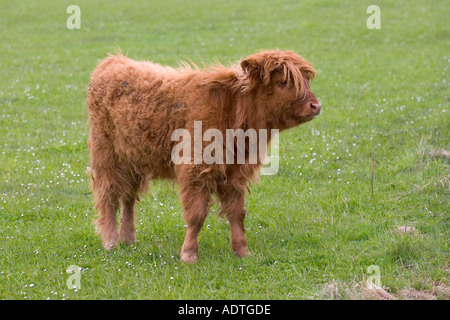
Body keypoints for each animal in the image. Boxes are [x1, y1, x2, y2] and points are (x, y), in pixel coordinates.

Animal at [87, 50, 320, 262]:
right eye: (283, 82)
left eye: (305, 81)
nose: (316, 106)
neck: (233, 112)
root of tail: (113, 61)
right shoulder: (195, 170)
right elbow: (197, 215)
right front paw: (189, 254)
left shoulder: (235, 174)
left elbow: (237, 213)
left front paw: (242, 251)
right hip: (107, 157)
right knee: (109, 196)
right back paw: (111, 241)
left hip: (133, 159)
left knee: (128, 197)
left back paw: (129, 239)